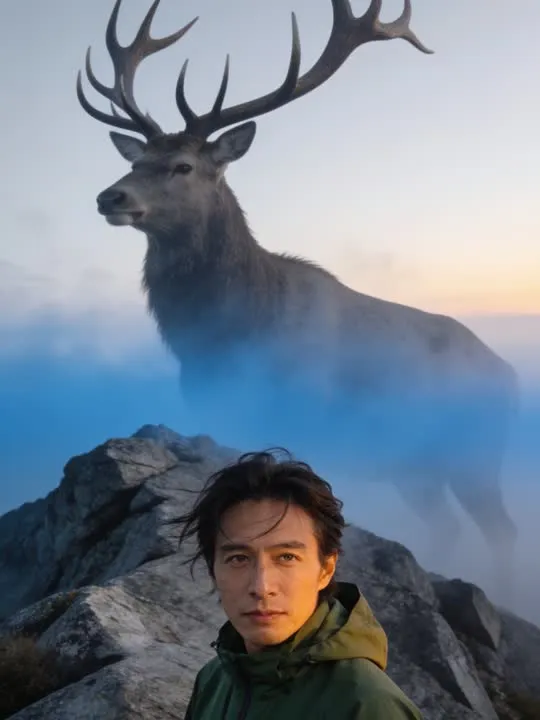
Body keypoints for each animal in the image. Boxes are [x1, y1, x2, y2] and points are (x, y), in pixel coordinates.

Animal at [77, 0, 519, 599]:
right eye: (136, 160)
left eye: (183, 166)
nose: (110, 196)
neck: (237, 326)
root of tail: (512, 377)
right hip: (416, 465)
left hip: (475, 452)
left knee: (502, 529)